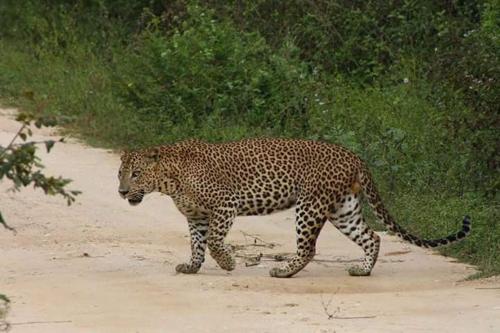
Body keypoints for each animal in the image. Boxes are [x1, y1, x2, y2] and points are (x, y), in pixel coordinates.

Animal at [116, 136, 468, 276]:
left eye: (136, 174)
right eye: (120, 174)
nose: (121, 192)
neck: (169, 180)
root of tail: (354, 156)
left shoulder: (226, 205)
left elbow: (214, 241)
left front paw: (228, 263)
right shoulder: (197, 216)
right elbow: (197, 244)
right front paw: (192, 266)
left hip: (310, 205)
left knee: (309, 248)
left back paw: (283, 271)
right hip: (343, 209)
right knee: (373, 237)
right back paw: (362, 270)